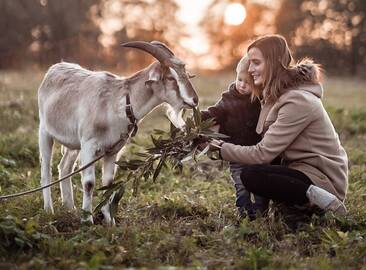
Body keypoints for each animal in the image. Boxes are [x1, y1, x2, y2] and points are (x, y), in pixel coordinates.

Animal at [38, 41, 197, 225]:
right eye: (171, 77)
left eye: (185, 73)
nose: (194, 100)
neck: (117, 103)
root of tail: (55, 68)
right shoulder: (89, 145)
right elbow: (89, 183)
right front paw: (87, 220)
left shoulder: (112, 150)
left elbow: (108, 183)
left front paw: (109, 221)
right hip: (45, 132)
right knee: (46, 170)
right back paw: (48, 209)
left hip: (74, 144)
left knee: (64, 167)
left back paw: (69, 207)